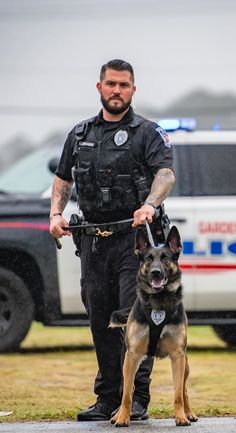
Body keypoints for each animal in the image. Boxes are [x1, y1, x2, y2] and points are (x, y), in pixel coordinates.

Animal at [110, 226, 197, 426]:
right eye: (148, 259)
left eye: (165, 258)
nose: (155, 272)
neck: (159, 300)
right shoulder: (133, 355)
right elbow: (127, 393)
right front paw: (123, 417)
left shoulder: (177, 356)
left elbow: (178, 394)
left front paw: (181, 417)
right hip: (127, 362)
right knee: (126, 387)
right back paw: (118, 414)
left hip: (185, 364)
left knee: (184, 389)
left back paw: (188, 413)